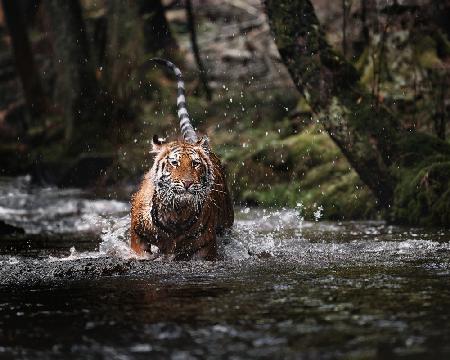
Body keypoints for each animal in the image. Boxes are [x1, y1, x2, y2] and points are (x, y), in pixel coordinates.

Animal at [130, 59, 234, 262]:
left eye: (195, 163)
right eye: (174, 163)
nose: (187, 183)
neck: (176, 214)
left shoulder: (205, 248)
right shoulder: (137, 234)